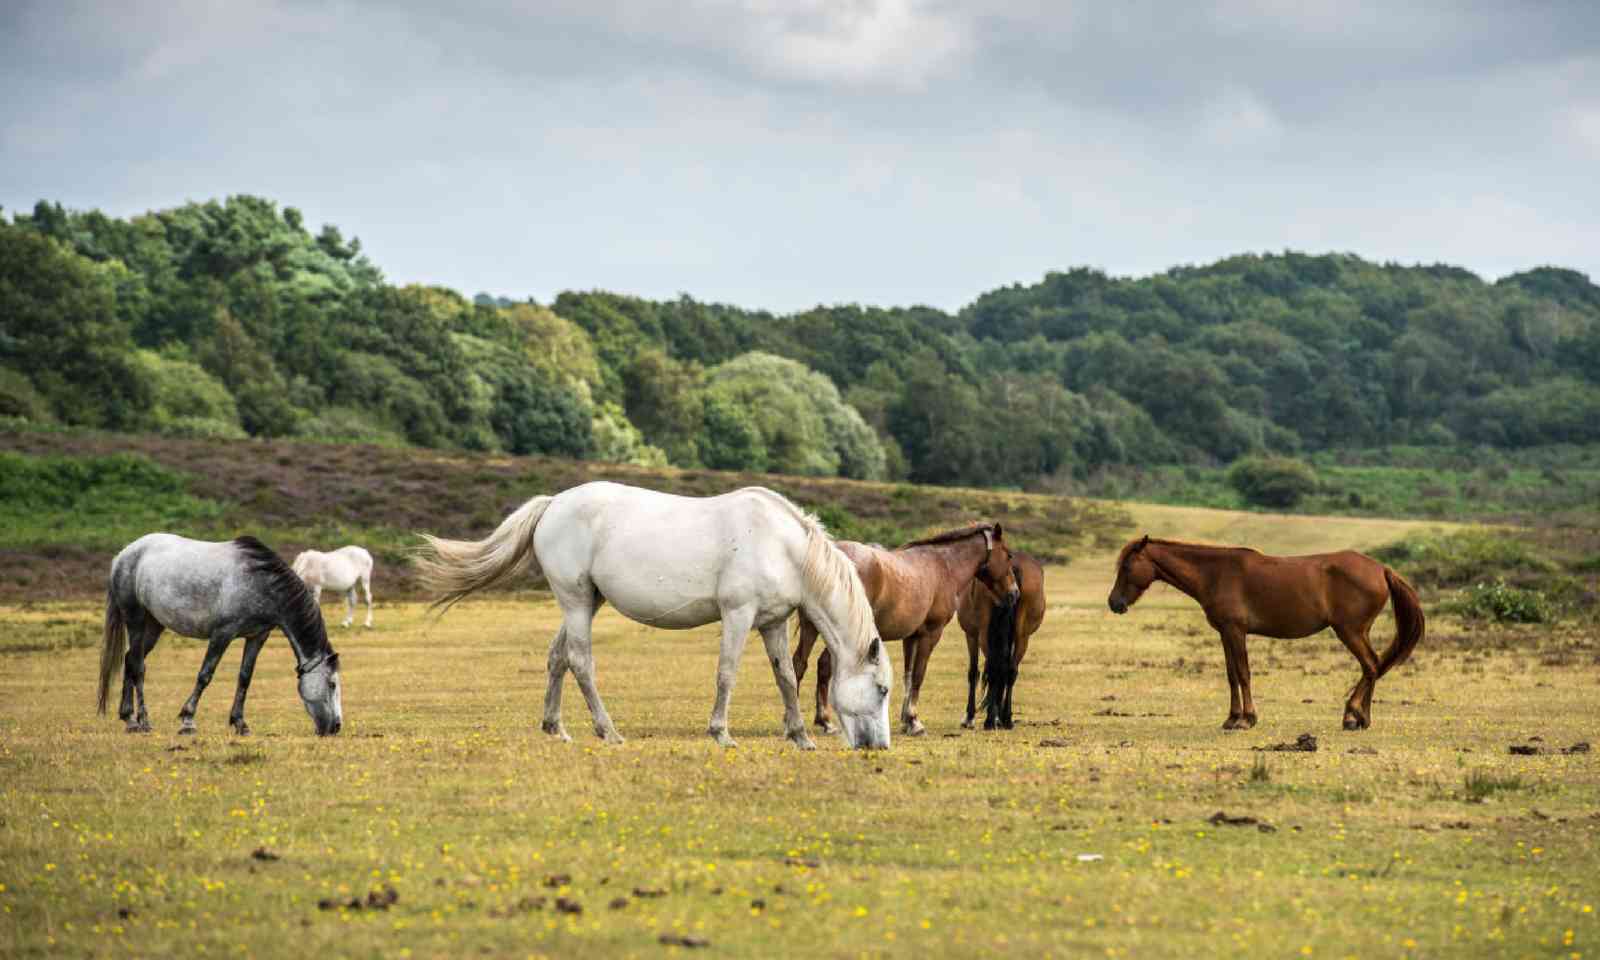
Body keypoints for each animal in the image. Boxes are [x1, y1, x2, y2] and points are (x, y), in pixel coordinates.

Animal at [97, 531, 344, 736]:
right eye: (332, 684)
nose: (336, 727)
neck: (260, 581)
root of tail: (123, 555)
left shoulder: (256, 637)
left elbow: (245, 678)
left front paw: (240, 723)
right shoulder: (223, 634)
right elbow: (205, 674)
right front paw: (188, 720)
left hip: (154, 625)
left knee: (130, 660)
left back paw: (129, 719)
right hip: (136, 620)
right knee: (138, 667)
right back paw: (143, 720)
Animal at [416, 480, 902, 748]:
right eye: (880, 689)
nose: (878, 747)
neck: (782, 546)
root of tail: (553, 503)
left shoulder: (772, 622)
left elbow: (784, 675)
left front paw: (799, 736)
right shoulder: (738, 615)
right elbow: (727, 673)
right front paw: (721, 733)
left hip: (585, 602)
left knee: (557, 658)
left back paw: (557, 728)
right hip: (576, 602)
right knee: (580, 662)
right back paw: (608, 731)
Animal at [790, 524, 1024, 736]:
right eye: (1009, 555)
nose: (1014, 593)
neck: (944, 567)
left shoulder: (911, 637)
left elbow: (909, 676)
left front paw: (906, 721)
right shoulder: (931, 634)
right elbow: (919, 675)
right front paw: (914, 720)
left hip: (812, 628)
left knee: (801, 664)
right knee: (823, 665)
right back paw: (822, 721)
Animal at [953, 550, 1043, 732]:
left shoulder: (971, 635)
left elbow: (974, 672)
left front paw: (969, 717)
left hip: (984, 635)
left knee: (995, 669)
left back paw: (990, 720)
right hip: (1022, 637)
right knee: (1010, 671)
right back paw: (1006, 719)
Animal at [1100, 537, 1427, 732]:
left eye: (1127, 566)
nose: (1114, 603)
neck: (1215, 573)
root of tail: (1382, 570)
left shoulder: (1236, 631)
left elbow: (1243, 673)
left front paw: (1247, 719)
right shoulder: (1225, 633)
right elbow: (1231, 674)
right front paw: (1232, 718)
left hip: (1349, 631)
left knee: (1371, 665)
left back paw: (1352, 715)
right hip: (1357, 632)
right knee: (1373, 666)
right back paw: (1362, 718)